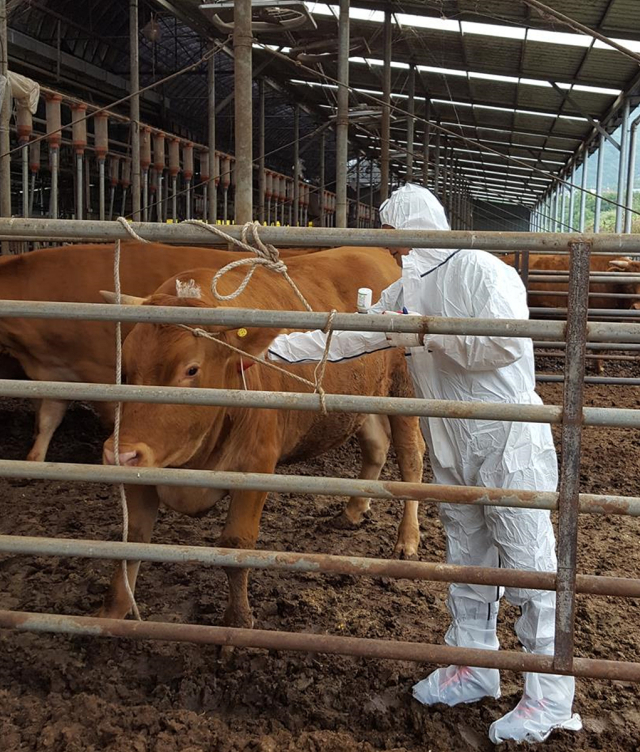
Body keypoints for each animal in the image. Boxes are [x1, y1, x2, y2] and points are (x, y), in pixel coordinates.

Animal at [99, 248, 424, 628]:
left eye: (191, 369)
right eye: (126, 368)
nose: (118, 455)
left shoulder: (256, 465)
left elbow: (236, 545)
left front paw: (238, 621)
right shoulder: (141, 472)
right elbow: (131, 542)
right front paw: (110, 614)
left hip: (403, 389)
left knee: (411, 459)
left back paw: (407, 539)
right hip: (363, 398)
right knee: (376, 445)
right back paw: (353, 510)